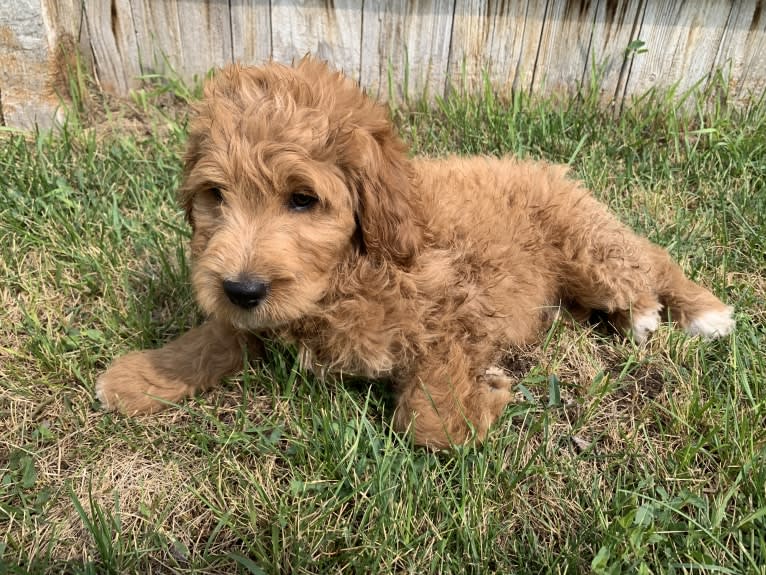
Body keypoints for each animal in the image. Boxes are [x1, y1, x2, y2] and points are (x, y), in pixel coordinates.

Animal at [97, 58, 736, 448]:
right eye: (216, 196)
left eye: (302, 200)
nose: (241, 289)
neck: (350, 271)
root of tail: (555, 175)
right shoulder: (264, 313)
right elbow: (220, 335)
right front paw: (142, 375)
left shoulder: (458, 309)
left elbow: (424, 423)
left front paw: (480, 400)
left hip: (589, 250)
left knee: (649, 261)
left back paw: (675, 312)